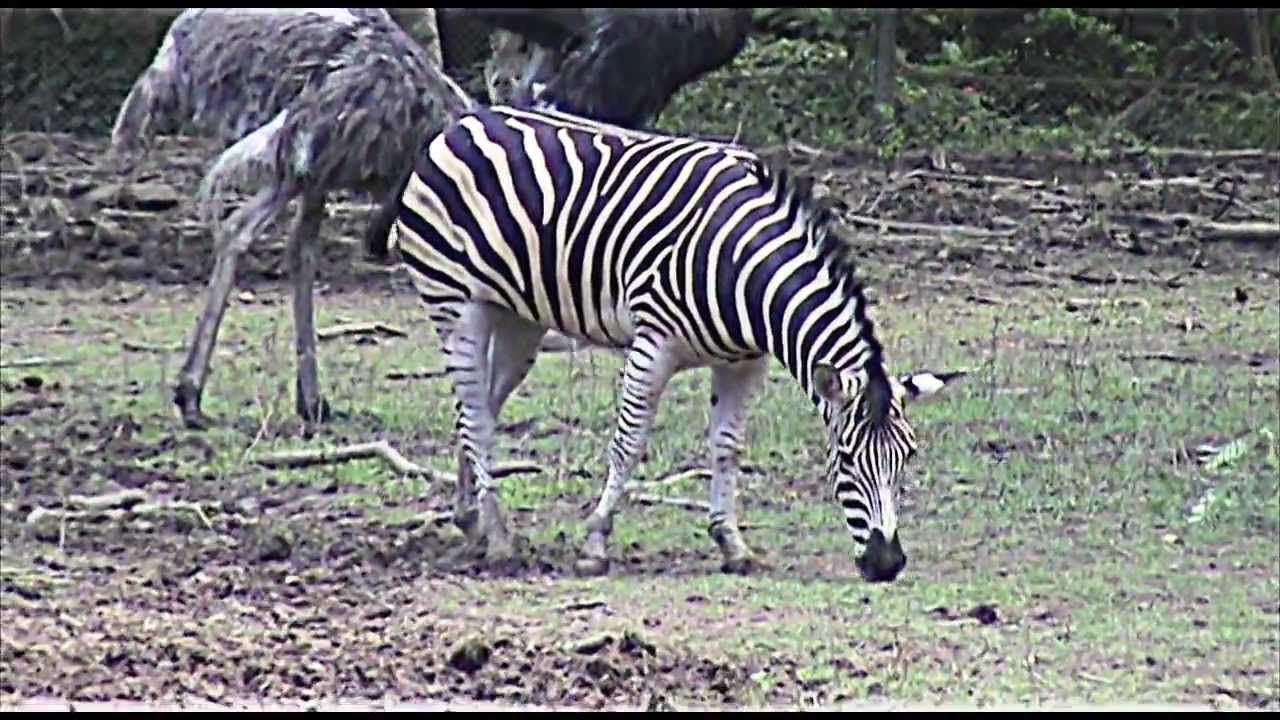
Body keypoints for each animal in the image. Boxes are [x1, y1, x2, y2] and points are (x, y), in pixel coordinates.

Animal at [378, 104, 962, 583]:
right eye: (844, 458)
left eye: (908, 456)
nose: (887, 565)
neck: (744, 271)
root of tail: (461, 124)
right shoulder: (653, 344)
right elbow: (628, 442)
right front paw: (595, 543)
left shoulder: (745, 362)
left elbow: (727, 447)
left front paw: (732, 544)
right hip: (455, 302)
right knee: (475, 412)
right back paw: (499, 537)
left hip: (519, 318)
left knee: (479, 407)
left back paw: (471, 520)